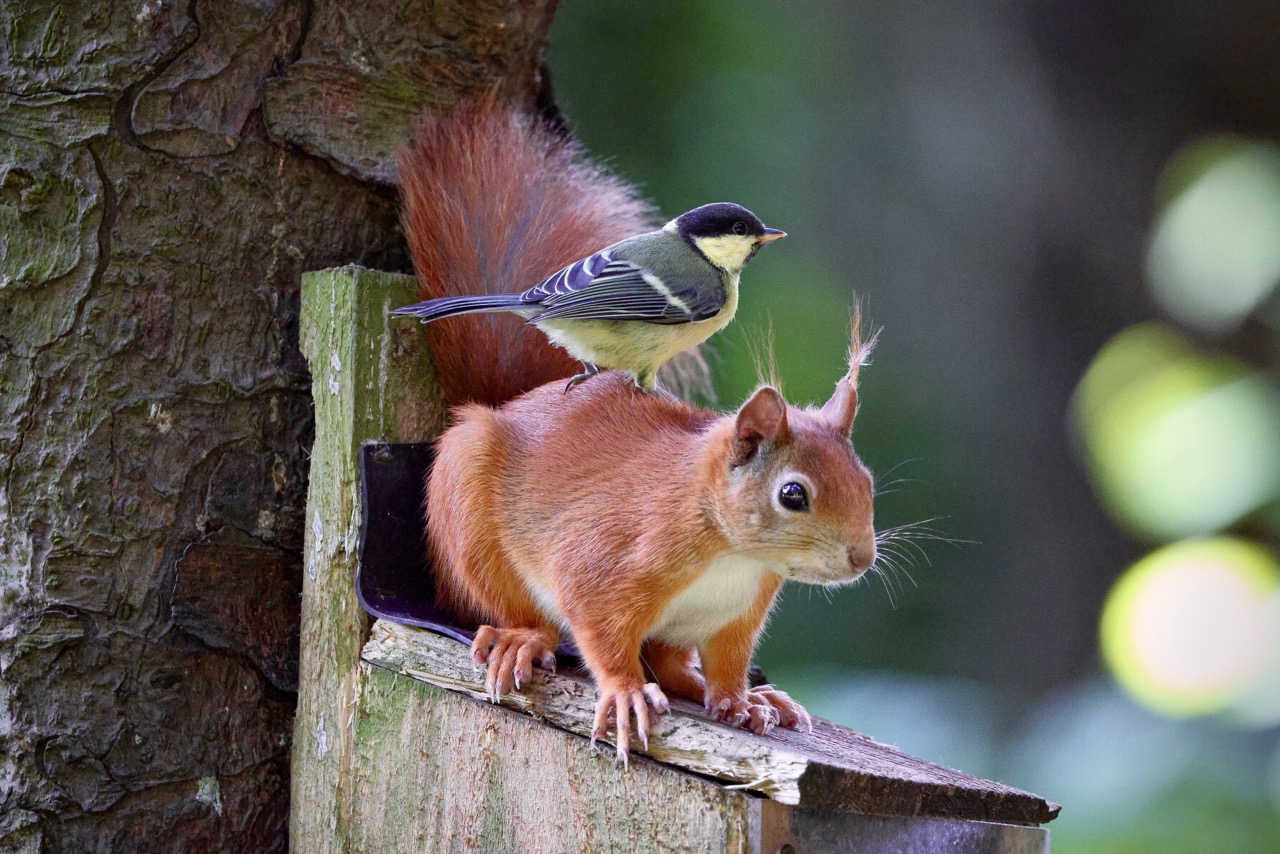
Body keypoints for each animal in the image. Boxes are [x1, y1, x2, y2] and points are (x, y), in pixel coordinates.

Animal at [402, 94, 878, 763]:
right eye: (793, 494)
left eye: (867, 482)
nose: (862, 558)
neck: (732, 553)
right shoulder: (607, 563)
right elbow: (602, 634)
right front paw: (625, 694)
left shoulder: (736, 615)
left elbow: (728, 665)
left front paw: (737, 699)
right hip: (470, 514)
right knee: (523, 611)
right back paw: (522, 639)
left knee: (672, 662)